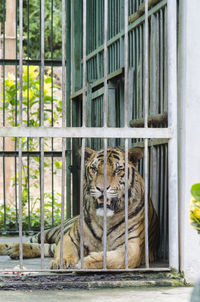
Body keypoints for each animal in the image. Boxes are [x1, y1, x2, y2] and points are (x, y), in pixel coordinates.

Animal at [0, 147, 159, 268]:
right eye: (94, 169)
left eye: (117, 170)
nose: (101, 188)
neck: (107, 218)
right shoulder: (70, 237)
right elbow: (65, 251)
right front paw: (62, 262)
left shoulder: (132, 249)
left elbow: (111, 259)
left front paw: (85, 262)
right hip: (51, 232)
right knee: (33, 241)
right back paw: (11, 248)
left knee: (47, 247)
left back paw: (14, 251)